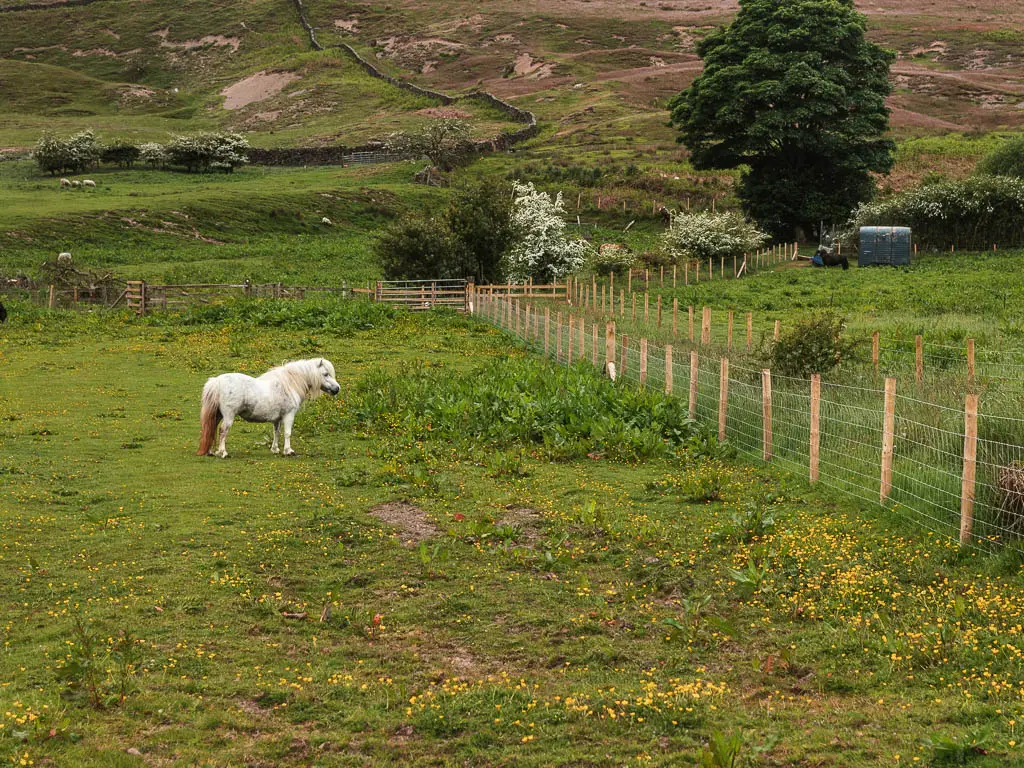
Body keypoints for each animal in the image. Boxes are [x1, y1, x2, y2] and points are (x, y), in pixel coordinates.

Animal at [197, 360, 342, 460]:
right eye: (326, 374)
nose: (337, 389)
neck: (289, 384)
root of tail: (216, 382)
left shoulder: (277, 419)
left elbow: (276, 432)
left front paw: (275, 449)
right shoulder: (289, 415)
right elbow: (288, 433)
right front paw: (288, 451)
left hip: (217, 416)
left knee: (211, 429)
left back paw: (211, 451)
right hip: (228, 416)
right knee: (222, 431)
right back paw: (223, 453)